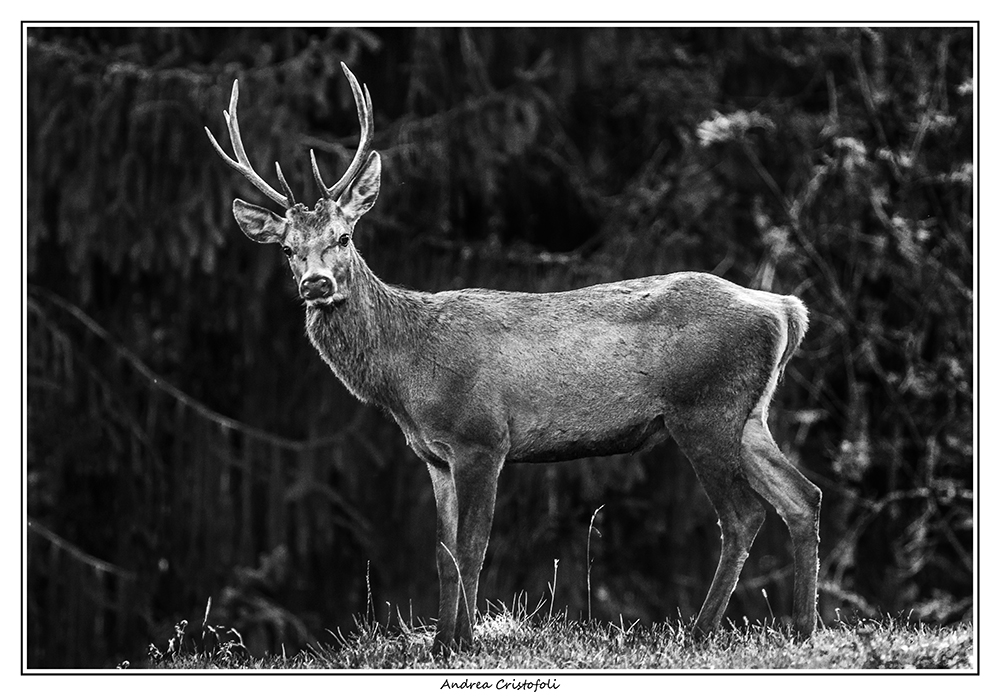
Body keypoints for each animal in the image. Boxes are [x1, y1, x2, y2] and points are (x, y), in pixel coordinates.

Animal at [205, 63, 822, 653]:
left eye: (344, 236)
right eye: (288, 248)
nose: (315, 283)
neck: (407, 374)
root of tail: (784, 308)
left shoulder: (483, 437)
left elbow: (472, 547)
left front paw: (465, 641)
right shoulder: (433, 455)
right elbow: (442, 553)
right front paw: (440, 643)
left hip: (703, 409)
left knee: (743, 514)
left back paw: (701, 631)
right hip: (749, 414)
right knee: (802, 497)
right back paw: (803, 628)